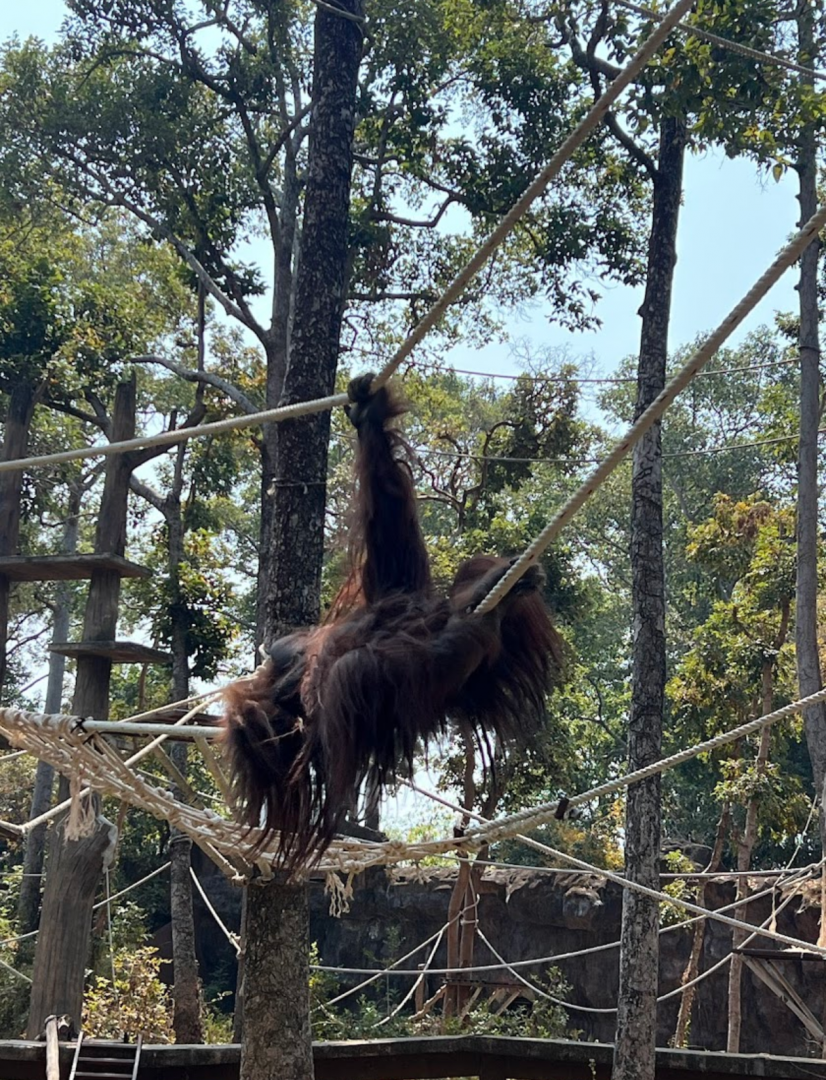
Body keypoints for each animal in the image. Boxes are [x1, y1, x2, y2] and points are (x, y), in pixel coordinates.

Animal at [222, 374, 563, 869]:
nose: (276, 667)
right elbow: (283, 743)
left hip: (407, 606)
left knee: (399, 548)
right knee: (373, 666)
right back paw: (485, 613)